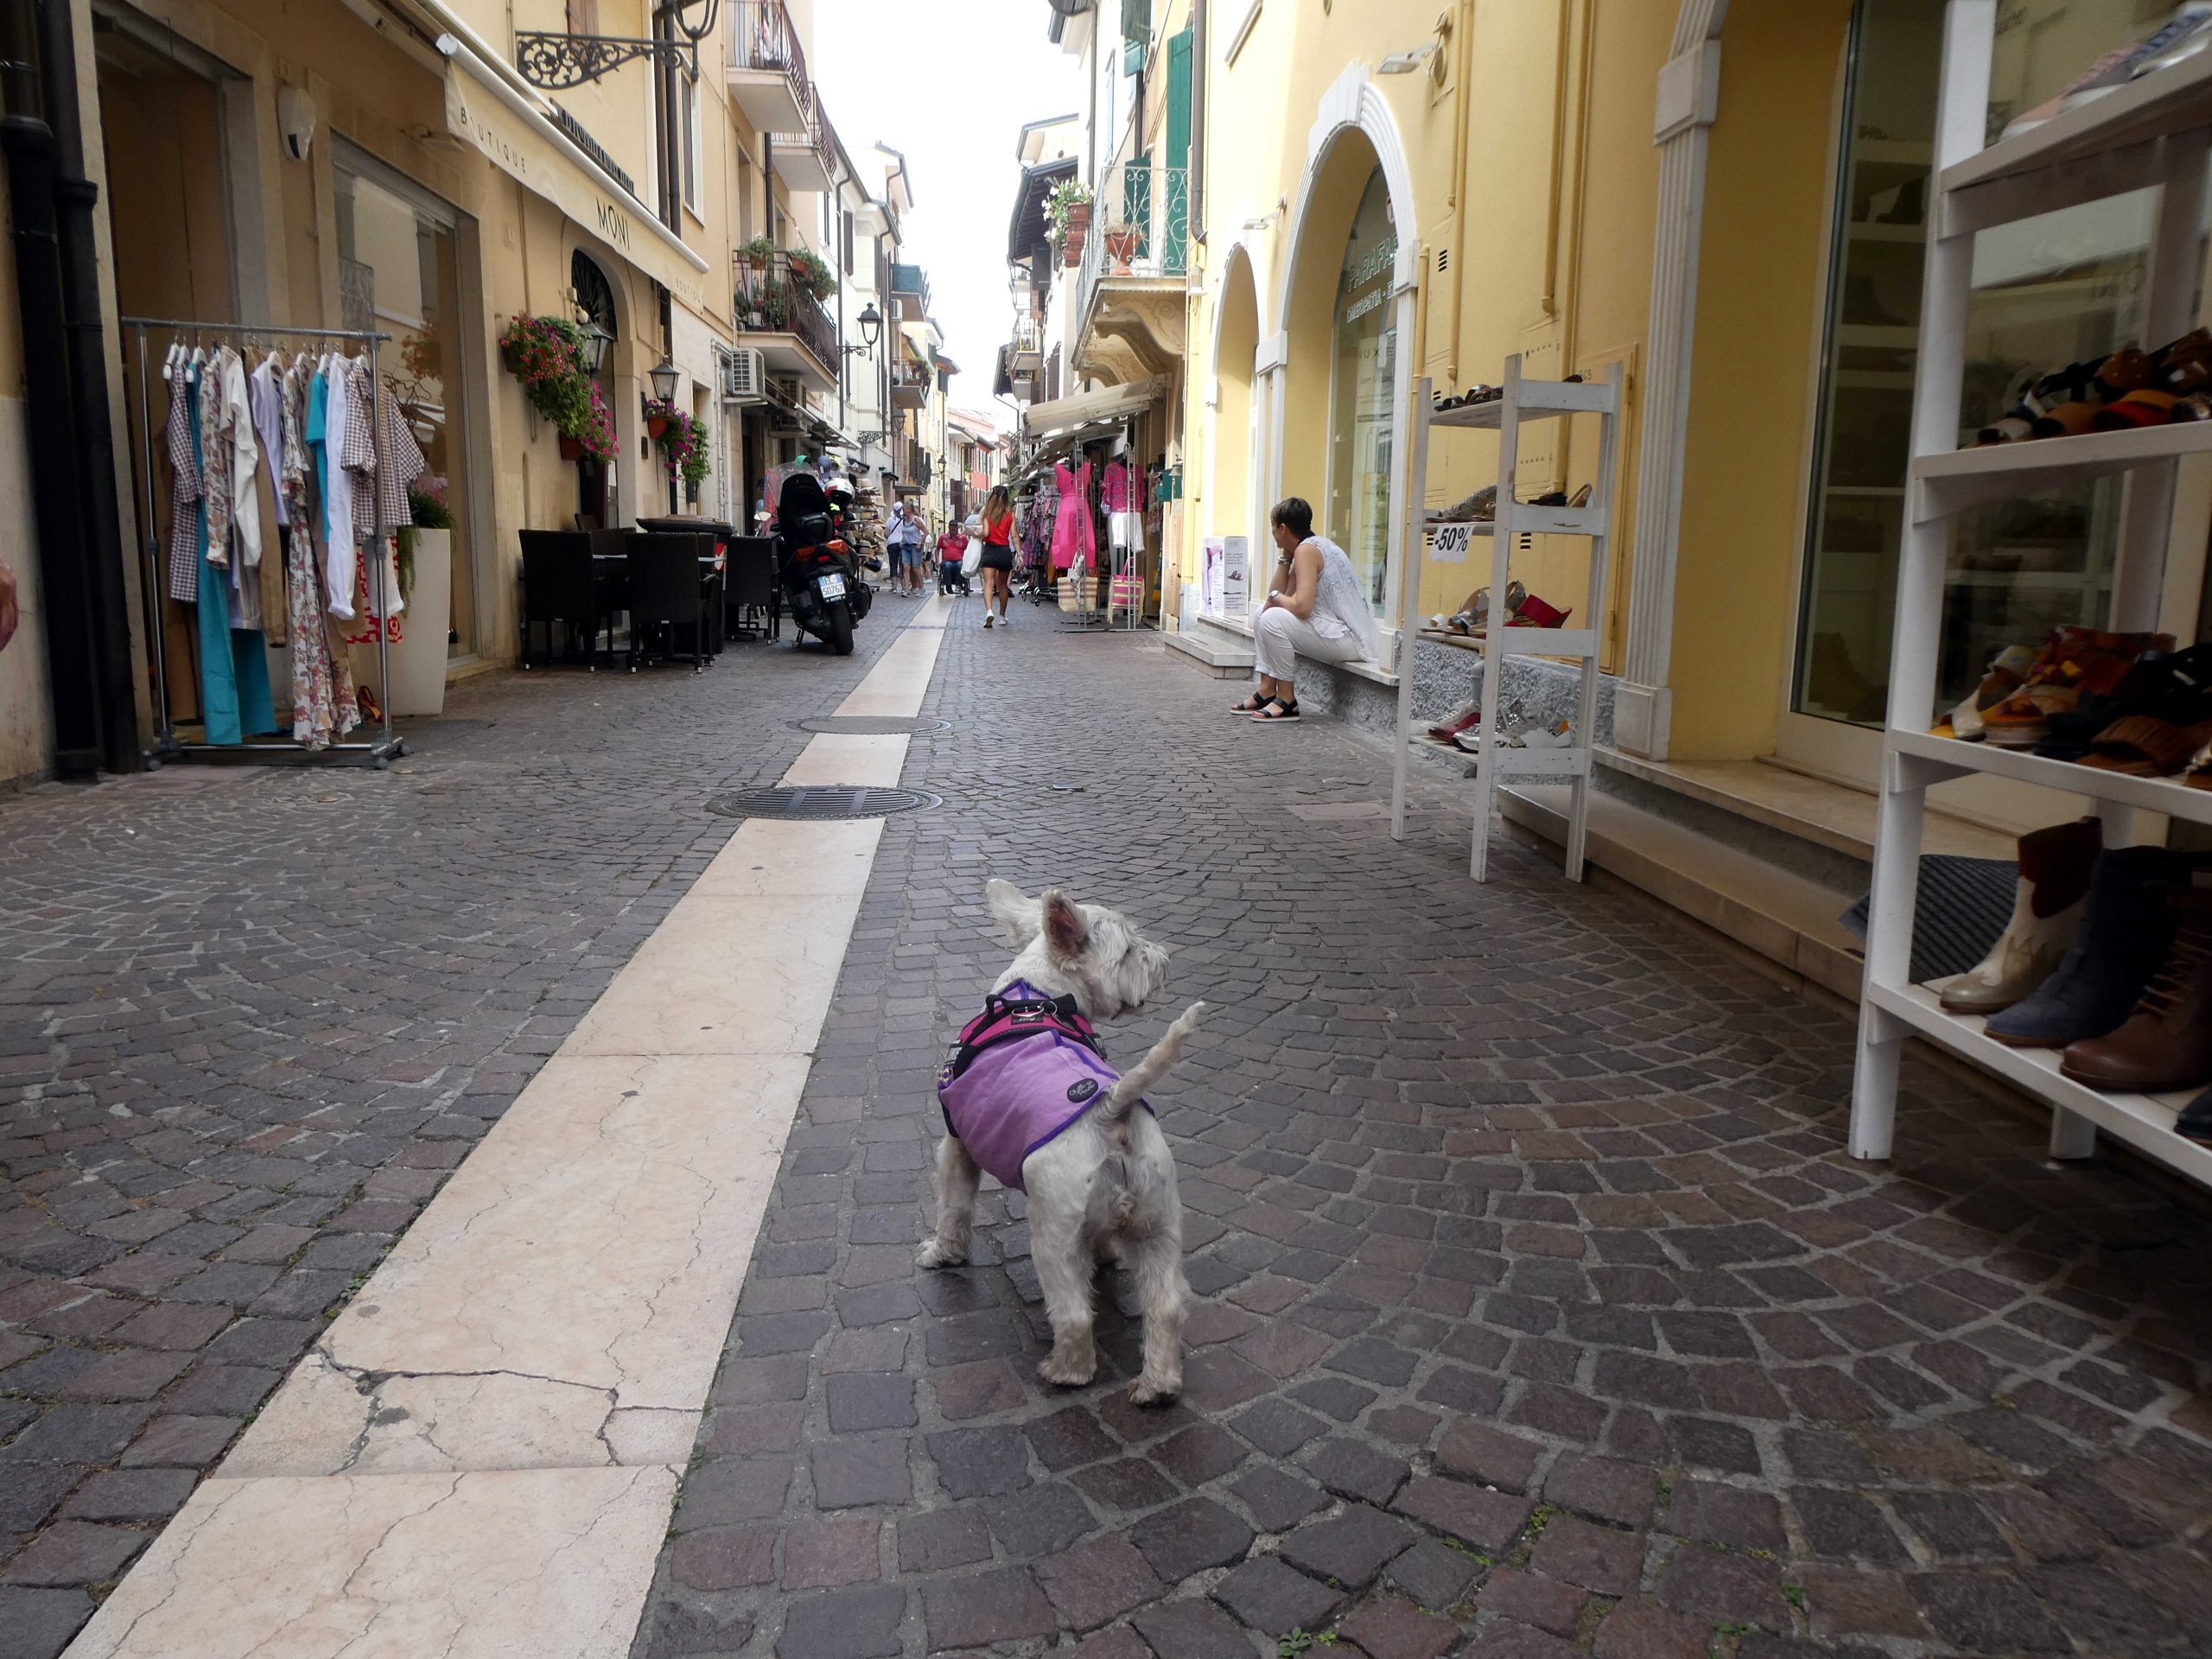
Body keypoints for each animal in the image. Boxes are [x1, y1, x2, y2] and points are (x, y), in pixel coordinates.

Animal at [915, 885, 1203, 1407]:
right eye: (1128, 950)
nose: (1165, 959)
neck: (1036, 995)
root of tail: (1110, 1108)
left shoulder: (956, 1147)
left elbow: (953, 1208)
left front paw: (941, 1254)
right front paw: (1105, 1253)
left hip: (1051, 1232)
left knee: (1073, 1313)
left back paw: (1065, 1371)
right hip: (1159, 1222)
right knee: (1166, 1305)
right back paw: (1156, 1386)